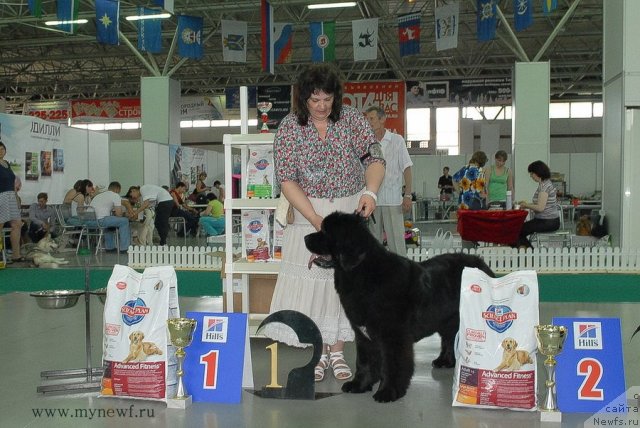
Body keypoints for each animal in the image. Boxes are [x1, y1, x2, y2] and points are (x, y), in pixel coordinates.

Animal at [304, 212, 496, 402]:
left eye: (325, 231)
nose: (305, 237)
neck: (362, 273)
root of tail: (483, 264)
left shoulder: (393, 336)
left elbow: (392, 365)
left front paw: (387, 392)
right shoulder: (363, 335)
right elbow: (364, 362)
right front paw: (359, 385)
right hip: (447, 320)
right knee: (449, 339)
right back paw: (445, 361)